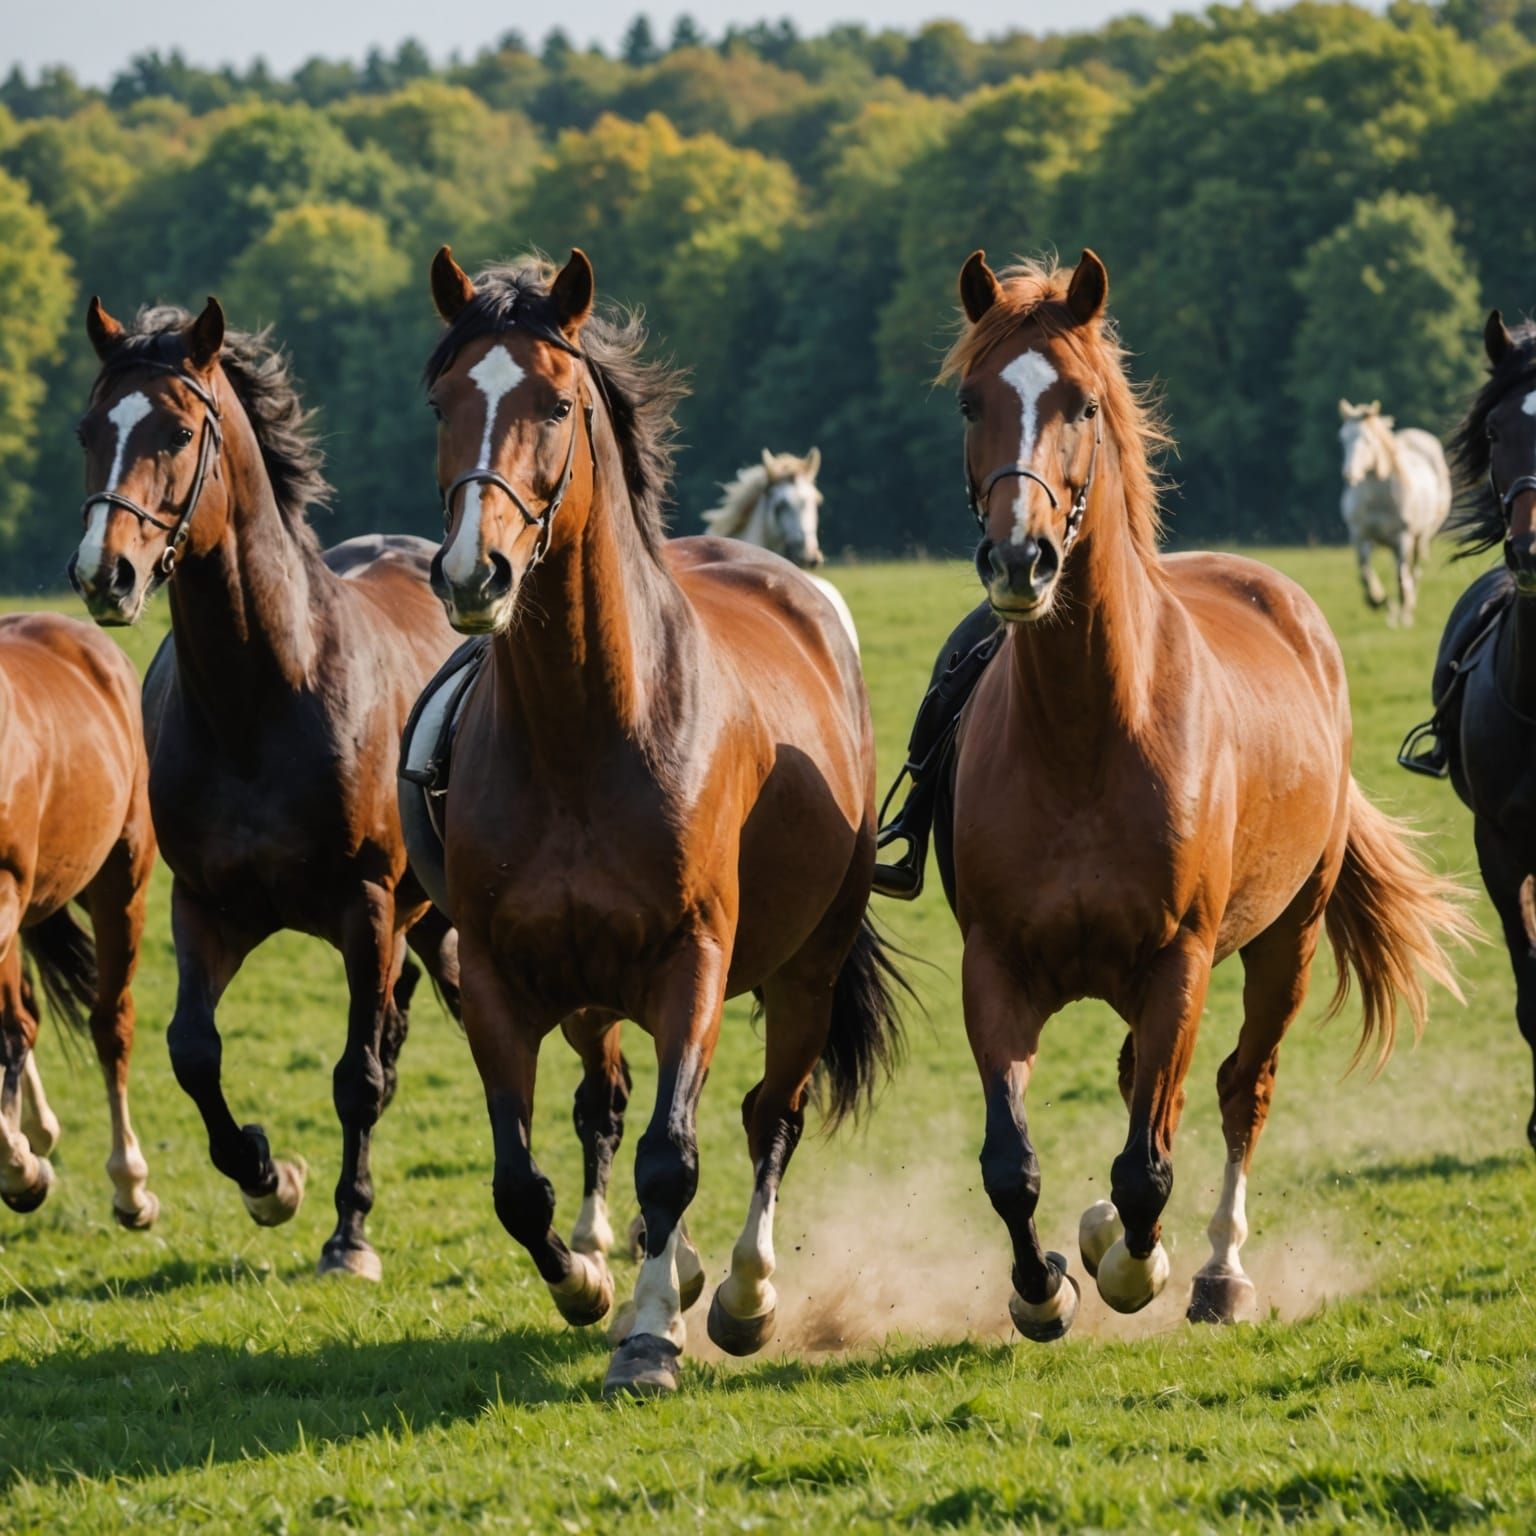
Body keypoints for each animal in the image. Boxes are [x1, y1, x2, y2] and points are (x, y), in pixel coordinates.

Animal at [67, 296, 467, 1282]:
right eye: (90, 430)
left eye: (176, 431)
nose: (104, 575)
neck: (261, 697)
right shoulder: (205, 907)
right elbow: (192, 1053)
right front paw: (265, 1176)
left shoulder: (365, 908)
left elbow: (357, 1078)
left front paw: (348, 1237)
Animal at [1338, 399, 1451, 626]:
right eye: (1342, 438)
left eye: (1367, 440)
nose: (1349, 475)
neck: (1378, 497)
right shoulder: (1360, 536)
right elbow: (1365, 574)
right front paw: (1379, 602)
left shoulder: (1403, 537)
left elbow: (1401, 576)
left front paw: (1402, 613)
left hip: (1420, 538)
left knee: (1413, 571)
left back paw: (1408, 608)